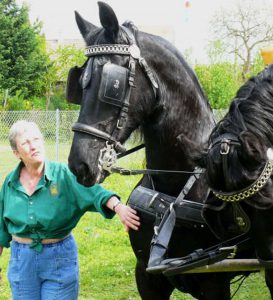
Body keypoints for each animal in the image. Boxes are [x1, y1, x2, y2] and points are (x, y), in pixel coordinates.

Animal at [67, 2, 240, 300]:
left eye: (112, 84)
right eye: (80, 84)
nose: (80, 163)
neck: (171, 197)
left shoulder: (214, 283)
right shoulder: (146, 277)